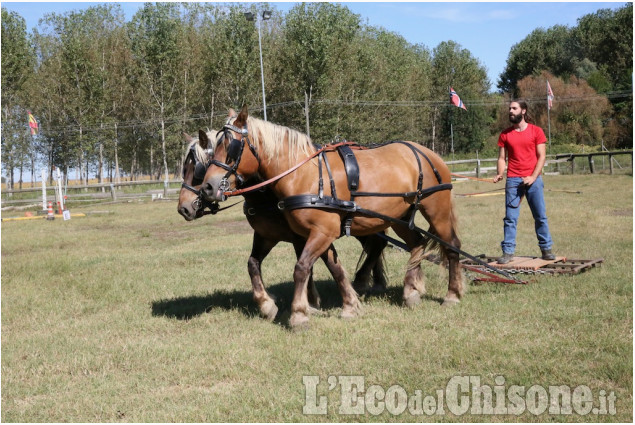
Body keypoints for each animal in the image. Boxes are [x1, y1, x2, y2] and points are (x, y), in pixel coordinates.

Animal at [176, 131, 390, 320]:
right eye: (185, 168)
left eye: (199, 169)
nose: (183, 208)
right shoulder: (266, 235)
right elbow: (253, 263)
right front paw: (267, 303)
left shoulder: (303, 236)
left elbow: (315, 266)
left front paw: (310, 302)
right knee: (375, 245)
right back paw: (376, 281)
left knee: (376, 244)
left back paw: (364, 280)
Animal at [201, 106, 464, 328]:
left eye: (231, 146)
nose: (208, 187)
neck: (304, 175)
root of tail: (428, 153)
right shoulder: (317, 233)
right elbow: (335, 269)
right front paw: (350, 305)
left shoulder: (321, 232)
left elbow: (301, 268)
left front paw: (299, 314)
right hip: (399, 216)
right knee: (417, 243)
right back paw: (411, 290)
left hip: (436, 211)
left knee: (452, 246)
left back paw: (452, 294)